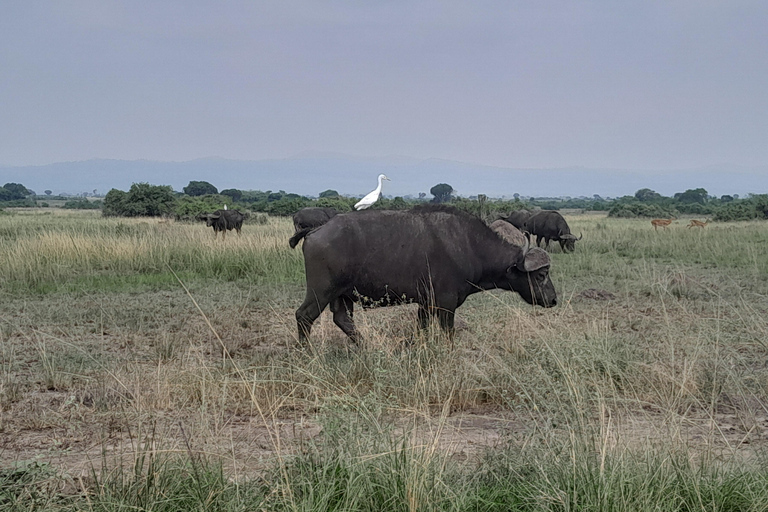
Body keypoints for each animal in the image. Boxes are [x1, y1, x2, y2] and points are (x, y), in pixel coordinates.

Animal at [292, 205, 556, 344]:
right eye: (541, 274)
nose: (553, 299)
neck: (470, 246)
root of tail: (315, 230)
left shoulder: (425, 305)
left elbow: (423, 329)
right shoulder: (446, 305)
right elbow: (448, 333)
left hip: (343, 295)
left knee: (343, 319)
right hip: (321, 292)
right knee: (304, 316)